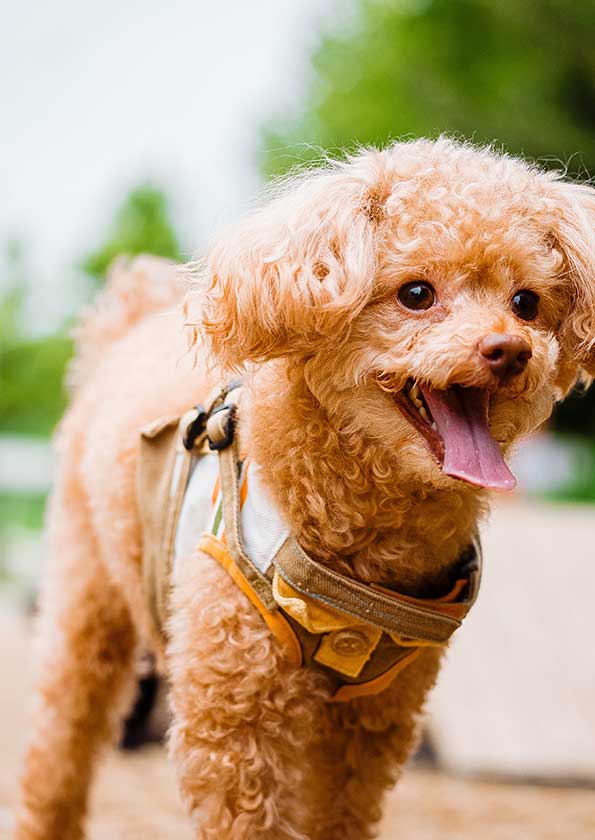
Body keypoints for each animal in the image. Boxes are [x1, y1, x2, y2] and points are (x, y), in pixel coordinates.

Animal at [15, 139, 595, 840]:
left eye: (527, 303)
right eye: (417, 293)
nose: (509, 350)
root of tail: (127, 323)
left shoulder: (369, 723)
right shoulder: (232, 714)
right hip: (85, 598)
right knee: (58, 749)